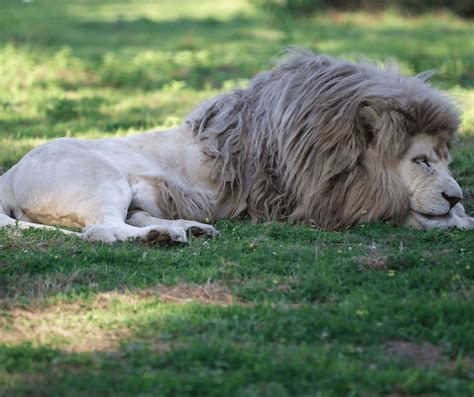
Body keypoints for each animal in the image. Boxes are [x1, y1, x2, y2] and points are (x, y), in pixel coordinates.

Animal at [0, 50, 472, 241]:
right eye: (421, 161)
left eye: (445, 160)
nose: (455, 195)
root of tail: (9, 172)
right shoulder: (321, 203)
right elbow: (406, 213)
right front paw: (456, 218)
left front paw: (461, 214)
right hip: (102, 179)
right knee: (103, 229)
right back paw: (161, 237)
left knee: (130, 218)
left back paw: (186, 228)